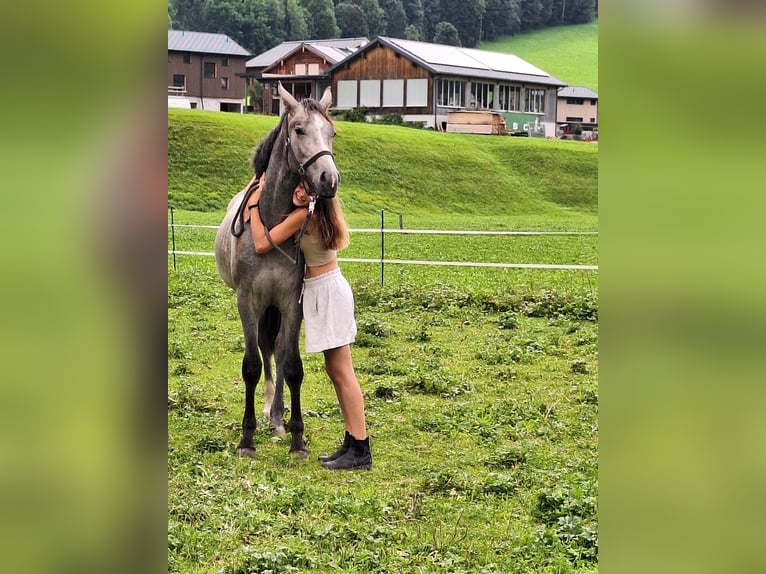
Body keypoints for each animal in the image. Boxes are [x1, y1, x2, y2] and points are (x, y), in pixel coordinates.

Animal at [214, 83, 338, 460]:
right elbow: (252, 365)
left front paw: (297, 437)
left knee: (279, 352)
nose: (329, 179)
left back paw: (278, 417)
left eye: (331, 132)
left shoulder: (290, 301)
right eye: (299, 130)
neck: (270, 220)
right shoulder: (247, 300)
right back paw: (269, 409)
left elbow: (292, 365)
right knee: (266, 352)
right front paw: (246, 438)